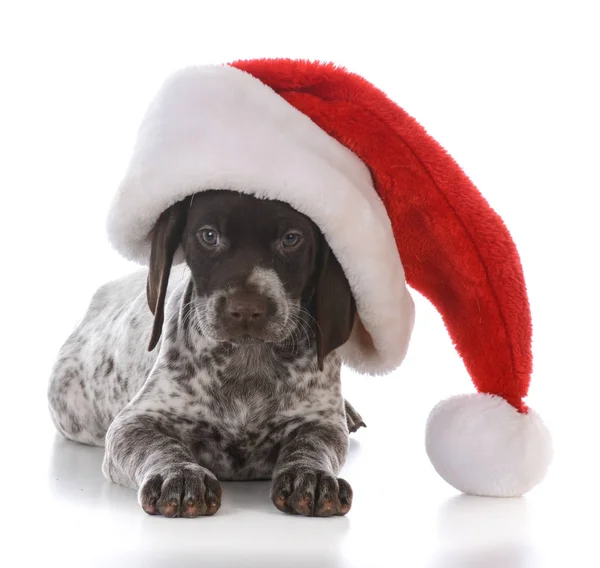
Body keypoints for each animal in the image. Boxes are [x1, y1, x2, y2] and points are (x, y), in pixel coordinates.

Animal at [48, 191, 366, 520]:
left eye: (291, 239)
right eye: (209, 236)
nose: (246, 309)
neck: (248, 360)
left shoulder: (322, 423)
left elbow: (309, 446)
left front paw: (311, 476)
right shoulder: (133, 423)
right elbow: (159, 445)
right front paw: (179, 475)